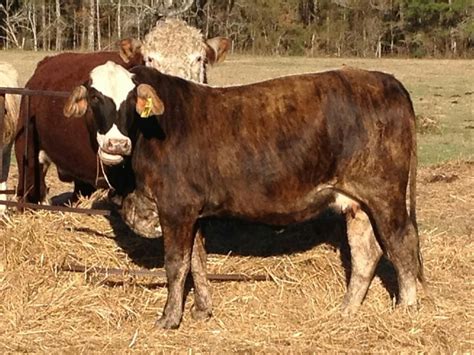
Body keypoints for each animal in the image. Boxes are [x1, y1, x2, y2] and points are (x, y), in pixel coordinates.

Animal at [64, 62, 426, 330]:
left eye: (130, 101)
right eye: (95, 97)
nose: (116, 144)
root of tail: (386, 80)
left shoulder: (176, 208)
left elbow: (176, 264)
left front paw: (169, 318)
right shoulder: (194, 211)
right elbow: (197, 261)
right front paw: (201, 310)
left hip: (385, 193)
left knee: (402, 243)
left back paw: (406, 310)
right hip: (357, 201)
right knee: (366, 251)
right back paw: (347, 310)